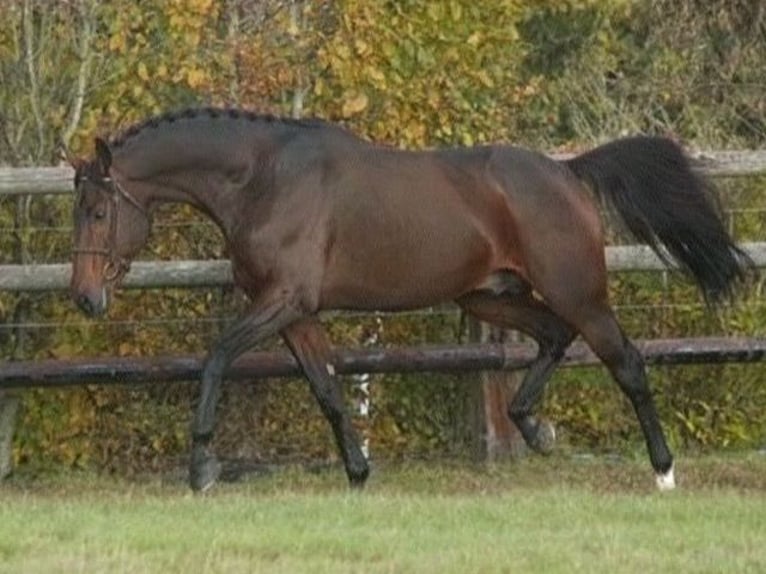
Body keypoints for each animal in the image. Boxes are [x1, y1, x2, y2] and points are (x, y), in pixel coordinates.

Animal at [64, 109, 752, 496]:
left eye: (97, 210)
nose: (85, 298)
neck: (264, 177)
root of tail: (568, 172)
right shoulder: (296, 313)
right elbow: (328, 389)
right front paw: (358, 474)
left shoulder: (282, 301)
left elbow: (215, 359)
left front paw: (202, 469)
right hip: (489, 297)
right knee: (553, 339)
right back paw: (536, 429)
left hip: (578, 293)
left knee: (626, 362)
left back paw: (663, 472)